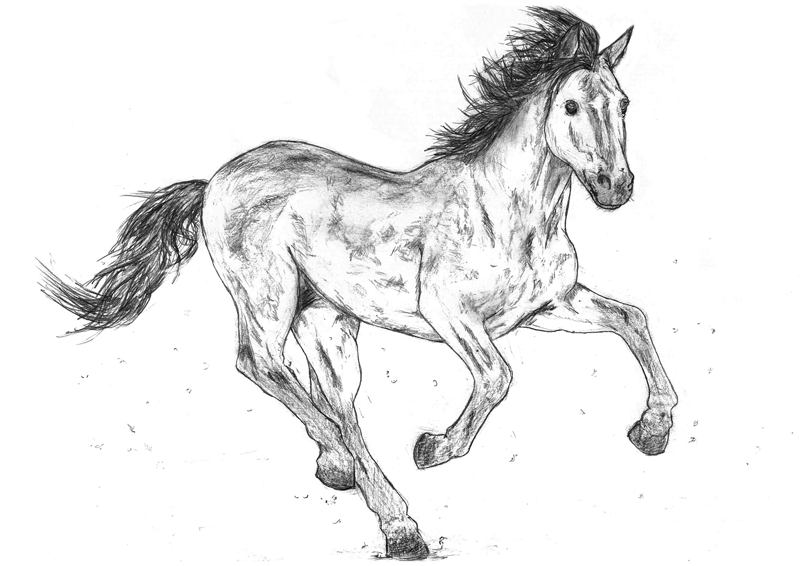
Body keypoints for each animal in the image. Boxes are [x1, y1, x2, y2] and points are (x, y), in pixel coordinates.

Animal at [39, 8, 678, 560]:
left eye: (622, 102)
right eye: (570, 105)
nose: (616, 187)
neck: (508, 212)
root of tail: (214, 180)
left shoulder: (548, 306)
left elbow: (631, 318)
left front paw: (653, 430)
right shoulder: (451, 315)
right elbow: (498, 377)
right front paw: (434, 448)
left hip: (326, 321)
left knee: (335, 400)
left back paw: (361, 489)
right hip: (268, 299)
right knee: (260, 364)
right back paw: (385, 508)